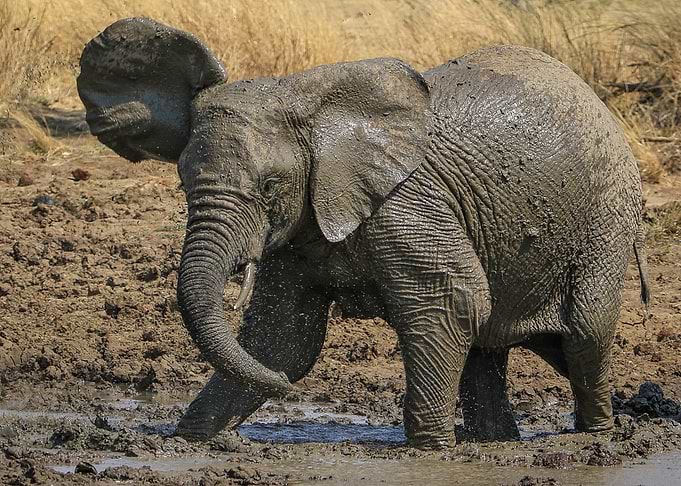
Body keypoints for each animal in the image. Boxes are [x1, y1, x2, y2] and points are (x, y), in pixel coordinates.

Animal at [77, 17, 650, 449]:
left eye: (269, 185)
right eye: (182, 181)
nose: (288, 397)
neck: (313, 110)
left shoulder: (406, 205)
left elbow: (452, 300)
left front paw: (429, 452)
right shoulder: (302, 228)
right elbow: (280, 342)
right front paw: (190, 440)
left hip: (607, 212)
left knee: (583, 333)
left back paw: (594, 439)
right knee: (495, 343)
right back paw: (496, 443)